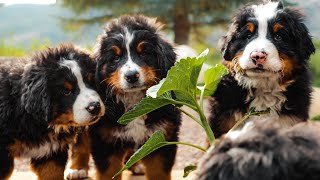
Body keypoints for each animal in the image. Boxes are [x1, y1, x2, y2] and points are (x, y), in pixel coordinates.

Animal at [65, 15, 180, 180]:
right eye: (116, 58)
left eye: (143, 53)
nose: (131, 76)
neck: (134, 101)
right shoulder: (105, 139)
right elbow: (109, 172)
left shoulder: (162, 137)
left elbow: (158, 172)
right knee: (80, 143)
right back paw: (77, 168)